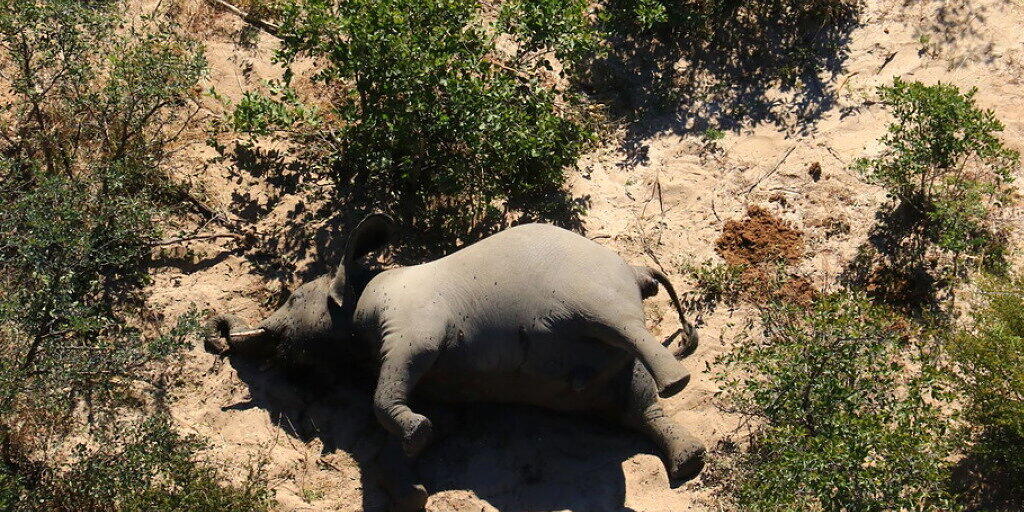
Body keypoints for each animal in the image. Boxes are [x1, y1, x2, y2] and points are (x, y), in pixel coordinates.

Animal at [205, 214, 704, 509]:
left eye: (292, 298)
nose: (216, 335)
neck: (363, 287)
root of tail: (637, 271)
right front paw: (420, 463)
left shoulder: (412, 324)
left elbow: (391, 385)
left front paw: (416, 439)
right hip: (606, 370)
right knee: (636, 404)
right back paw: (689, 463)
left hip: (593, 292)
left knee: (624, 331)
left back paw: (677, 384)